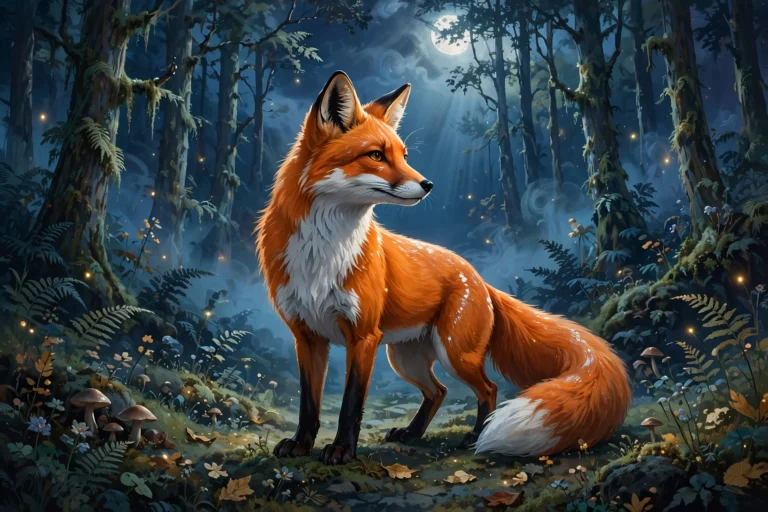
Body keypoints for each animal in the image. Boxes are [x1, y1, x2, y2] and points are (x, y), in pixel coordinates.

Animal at [256, 71, 631, 465]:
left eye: (404, 155)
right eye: (376, 155)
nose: (428, 184)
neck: (322, 253)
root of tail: (479, 278)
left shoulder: (363, 336)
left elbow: (351, 404)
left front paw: (343, 448)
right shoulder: (307, 337)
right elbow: (309, 403)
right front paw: (301, 443)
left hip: (453, 353)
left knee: (488, 388)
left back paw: (475, 436)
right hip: (404, 358)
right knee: (438, 392)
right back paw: (412, 432)